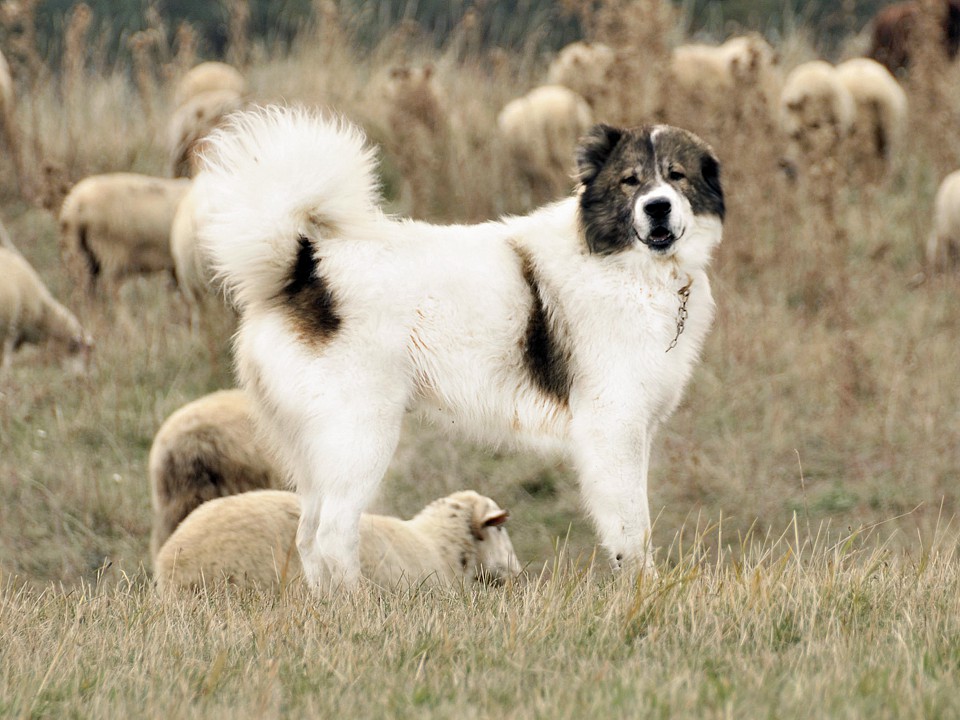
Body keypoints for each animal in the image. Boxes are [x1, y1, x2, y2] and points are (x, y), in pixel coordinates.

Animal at [204, 105, 728, 592]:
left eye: (676, 176)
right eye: (630, 181)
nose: (657, 207)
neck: (627, 267)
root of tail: (303, 267)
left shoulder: (635, 433)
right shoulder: (613, 430)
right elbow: (631, 529)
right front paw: (643, 592)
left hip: (317, 453)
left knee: (309, 536)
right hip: (359, 439)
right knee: (332, 535)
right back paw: (362, 608)